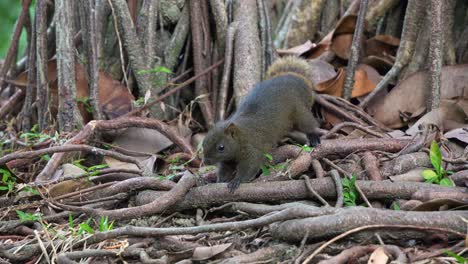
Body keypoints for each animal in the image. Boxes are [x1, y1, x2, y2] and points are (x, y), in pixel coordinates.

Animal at [203, 56, 320, 192]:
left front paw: (237, 181)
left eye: (221, 147)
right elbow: (225, 169)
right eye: (204, 143)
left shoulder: (252, 149)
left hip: (300, 112)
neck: (241, 136)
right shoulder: (229, 159)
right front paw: (220, 180)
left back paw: (314, 137)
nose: (205, 161)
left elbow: (249, 167)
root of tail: (296, 78)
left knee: (309, 124)